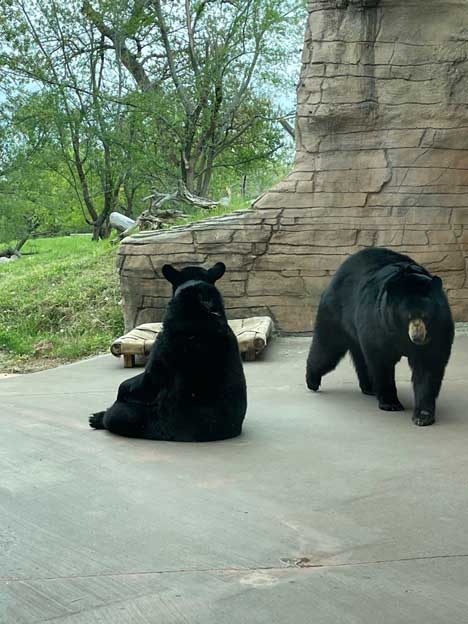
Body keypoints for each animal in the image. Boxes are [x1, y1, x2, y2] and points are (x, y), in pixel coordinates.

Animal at [89, 260, 247, 442]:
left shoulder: (165, 343)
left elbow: (148, 378)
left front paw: (122, 390)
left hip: (147, 417)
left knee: (119, 415)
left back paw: (98, 417)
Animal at [306, 246, 456, 426]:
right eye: (407, 316)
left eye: (426, 315)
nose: (418, 338)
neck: (401, 334)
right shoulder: (379, 323)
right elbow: (381, 359)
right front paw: (391, 403)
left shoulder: (439, 328)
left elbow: (429, 364)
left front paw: (423, 415)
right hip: (337, 313)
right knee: (327, 348)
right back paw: (312, 381)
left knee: (358, 356)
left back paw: (369, 387)